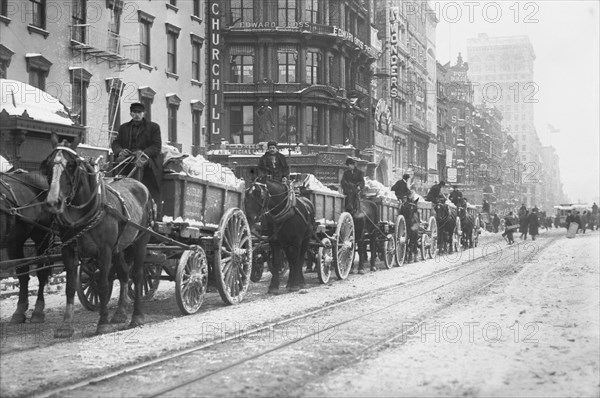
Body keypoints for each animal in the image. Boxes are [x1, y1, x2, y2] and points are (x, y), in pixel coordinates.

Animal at [42, 135, 154, 338]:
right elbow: (70, 287)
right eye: (47, 164)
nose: (53, 202)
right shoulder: (68, 250)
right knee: (124, 273)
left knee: (137, 275)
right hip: (119, 248)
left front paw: (103, 323)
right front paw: (66, 326)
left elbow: (102, 284)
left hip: (140, 241)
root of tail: (140, 184)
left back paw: (137, 316)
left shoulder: (104, 250)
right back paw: (120, 313)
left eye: (72, 165)